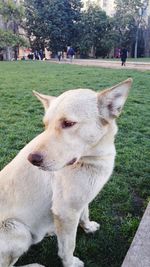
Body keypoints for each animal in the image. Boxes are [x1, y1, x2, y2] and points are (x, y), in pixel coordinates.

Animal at [0, 78, 132, 266]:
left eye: (68, 124)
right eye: (46, 125)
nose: (31, 159)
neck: (91, 158)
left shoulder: (80, 200)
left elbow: (85, 213)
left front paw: (88, 227)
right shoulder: (66, 211)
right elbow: (68, 246)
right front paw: (71, 263)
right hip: (18, 230)